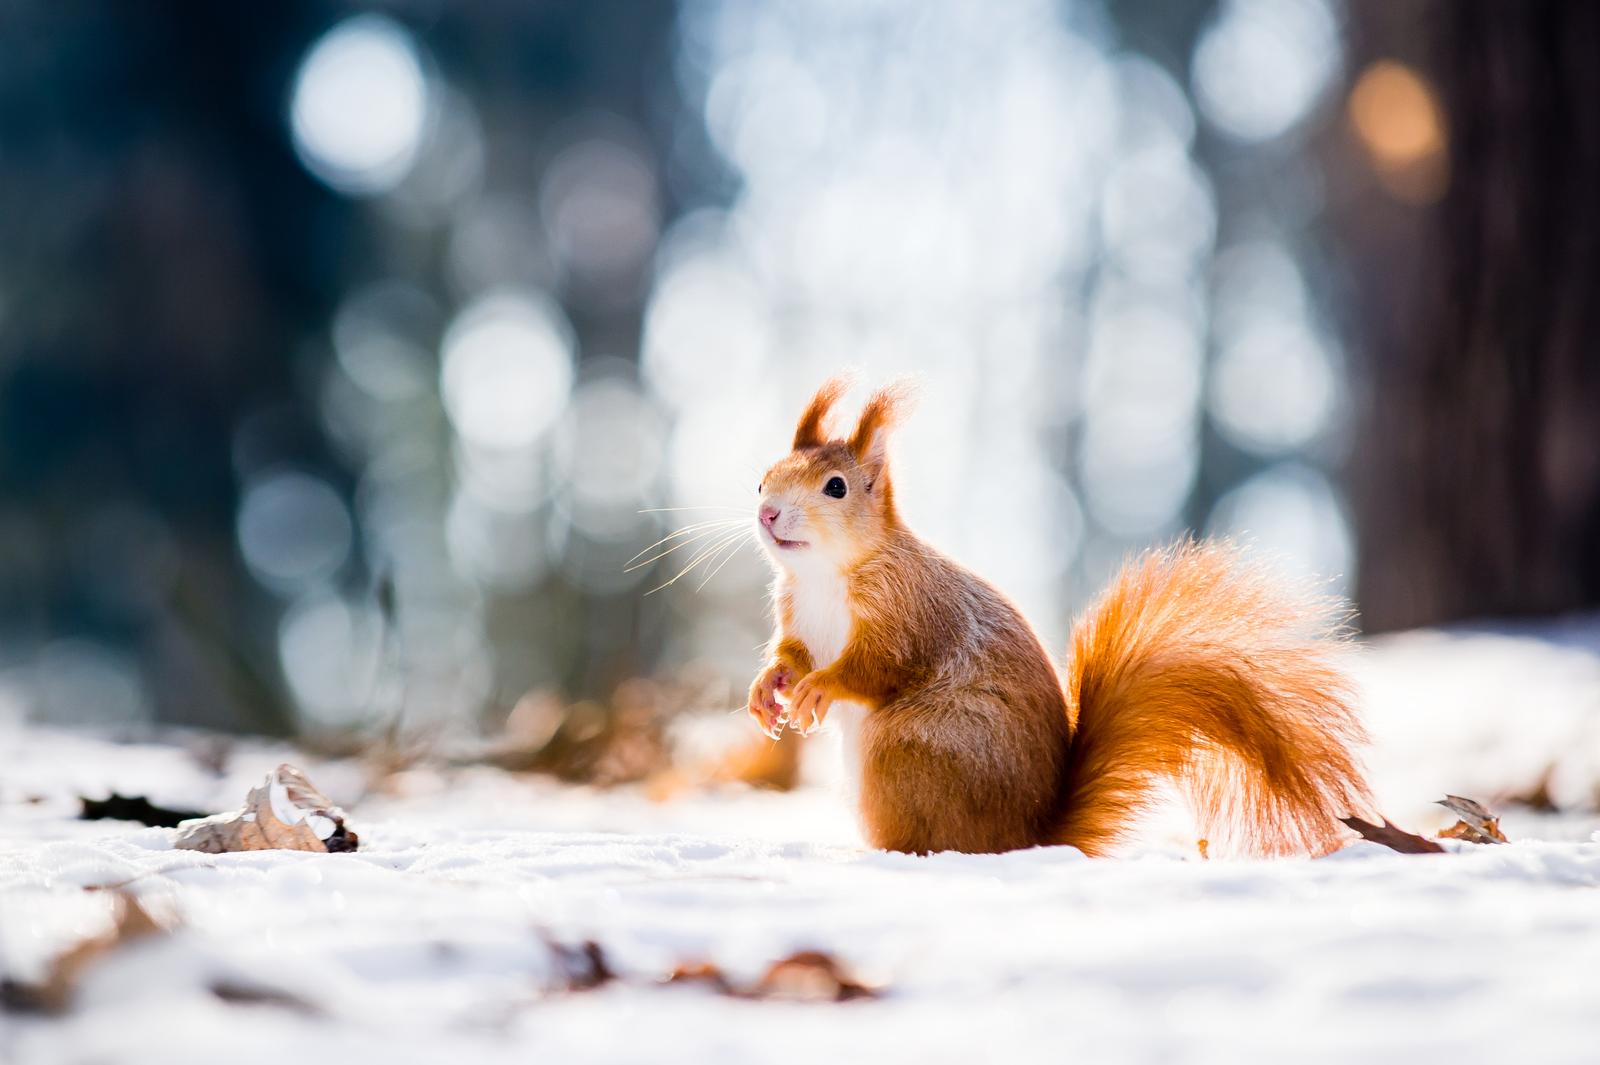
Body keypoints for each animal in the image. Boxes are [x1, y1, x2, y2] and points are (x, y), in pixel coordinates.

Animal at [742, 375, 1369, 857]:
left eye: (836, 487)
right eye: (763, 478)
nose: (768, 514)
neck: (827, 575)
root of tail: (1028, 837)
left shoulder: (909, 612)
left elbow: (880, 666)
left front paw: (820, 688)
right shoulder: (796, 613)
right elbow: (792, 653)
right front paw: (769, 687)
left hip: (909, 750)